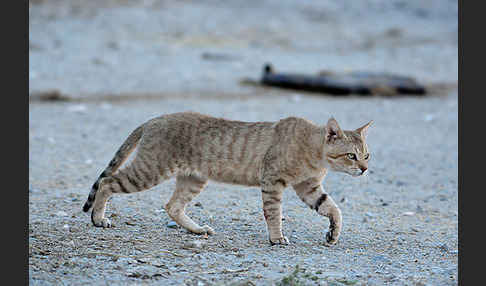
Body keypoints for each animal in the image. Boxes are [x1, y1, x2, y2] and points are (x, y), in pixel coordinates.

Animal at [83, 111, 372, 246]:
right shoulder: (272, 181)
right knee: (107, 182)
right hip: (149, 170)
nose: (365, 169)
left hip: (193, 179)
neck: (315, 155)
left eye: (367, 155)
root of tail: (154, 119)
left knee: (172, 206)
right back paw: (98, 219)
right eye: (351, 156)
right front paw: (276, 238)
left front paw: (333, 234)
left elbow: (333, 209)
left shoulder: (308, 187)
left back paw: (197, 229)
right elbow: (274, 213)